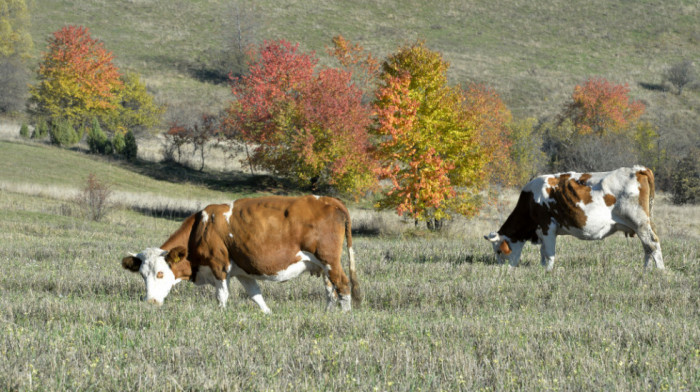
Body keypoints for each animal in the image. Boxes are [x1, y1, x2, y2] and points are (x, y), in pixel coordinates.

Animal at [121, 195, 360, 312]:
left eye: (160, 273)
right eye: (142, 275)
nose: (150, 301)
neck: (201, 227)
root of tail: (329, 200)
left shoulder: (219, 266)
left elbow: (221, 297)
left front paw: (221, 315)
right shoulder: (243, 272)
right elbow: (257, 297)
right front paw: (268, 314)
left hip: (330, 261)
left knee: (343, 285)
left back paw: (345, 316)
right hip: (323, 266)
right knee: (330, 290)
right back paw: (327, 314)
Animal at [484, 165, 664, 270]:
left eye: (499, 251)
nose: (502, 269)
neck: (530, 200)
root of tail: (638, 169)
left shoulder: (547, 227)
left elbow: (549, 253)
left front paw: (548, 271)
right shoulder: (543, 231)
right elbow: (543, 253)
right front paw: (542, 268)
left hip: (639, 223)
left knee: (652, 244)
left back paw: (660, 272)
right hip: (641, 225)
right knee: (647, 248)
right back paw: (646, 270)